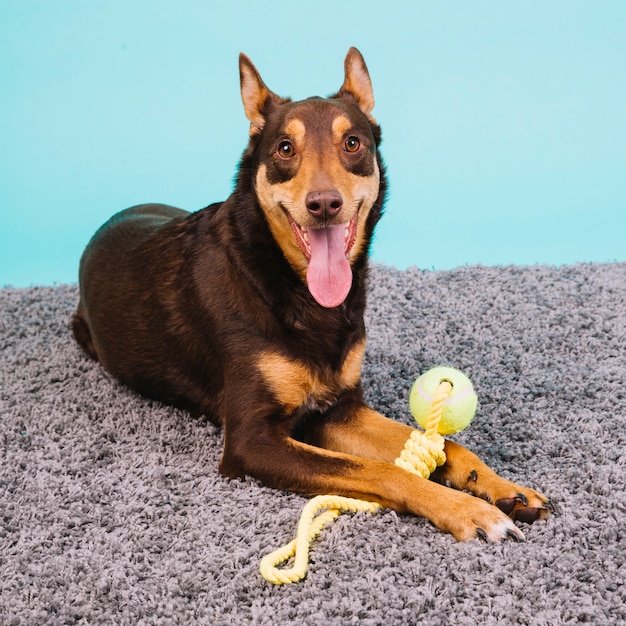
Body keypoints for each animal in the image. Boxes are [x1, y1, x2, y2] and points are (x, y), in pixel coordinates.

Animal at [74, 47, 552, 540]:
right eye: (285, 149)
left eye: (353, 143)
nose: (324, 204)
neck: (295, 291)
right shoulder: (251, 441)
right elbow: (380, 470)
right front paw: (467, 509)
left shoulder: (339, 410)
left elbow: (448, 446)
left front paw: (503, 488)